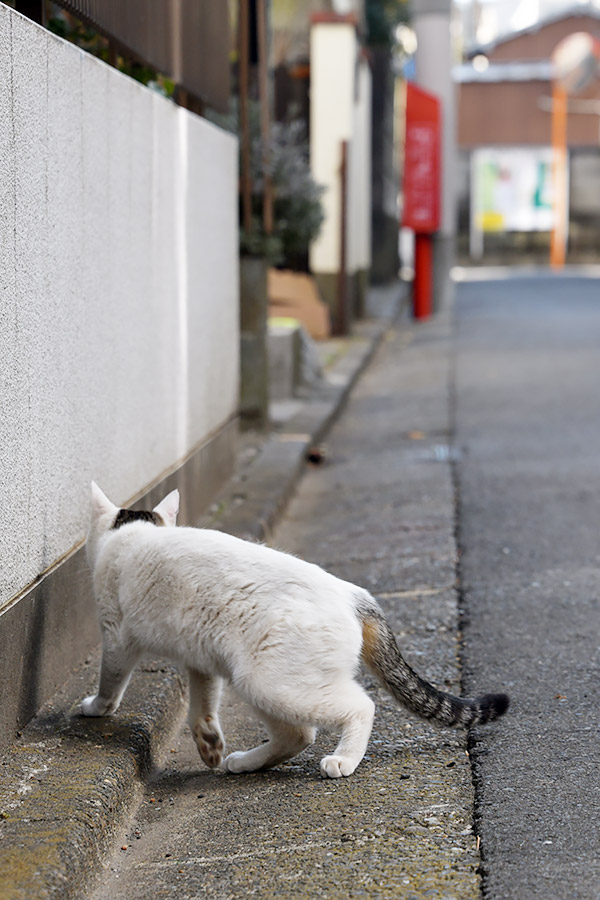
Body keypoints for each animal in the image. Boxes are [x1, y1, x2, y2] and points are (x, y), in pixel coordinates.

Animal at [82, 482, 508, 776]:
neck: (137, 533)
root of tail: (354, 594)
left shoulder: (115, 634)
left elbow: (111, 679)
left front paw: (97, 708)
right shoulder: (200, 659)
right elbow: (202, 704)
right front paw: (208, 745)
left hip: (267, 681)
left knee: (354, 709)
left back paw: (342, 759)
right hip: (259, 679)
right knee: (296, 735)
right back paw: (245, 763)